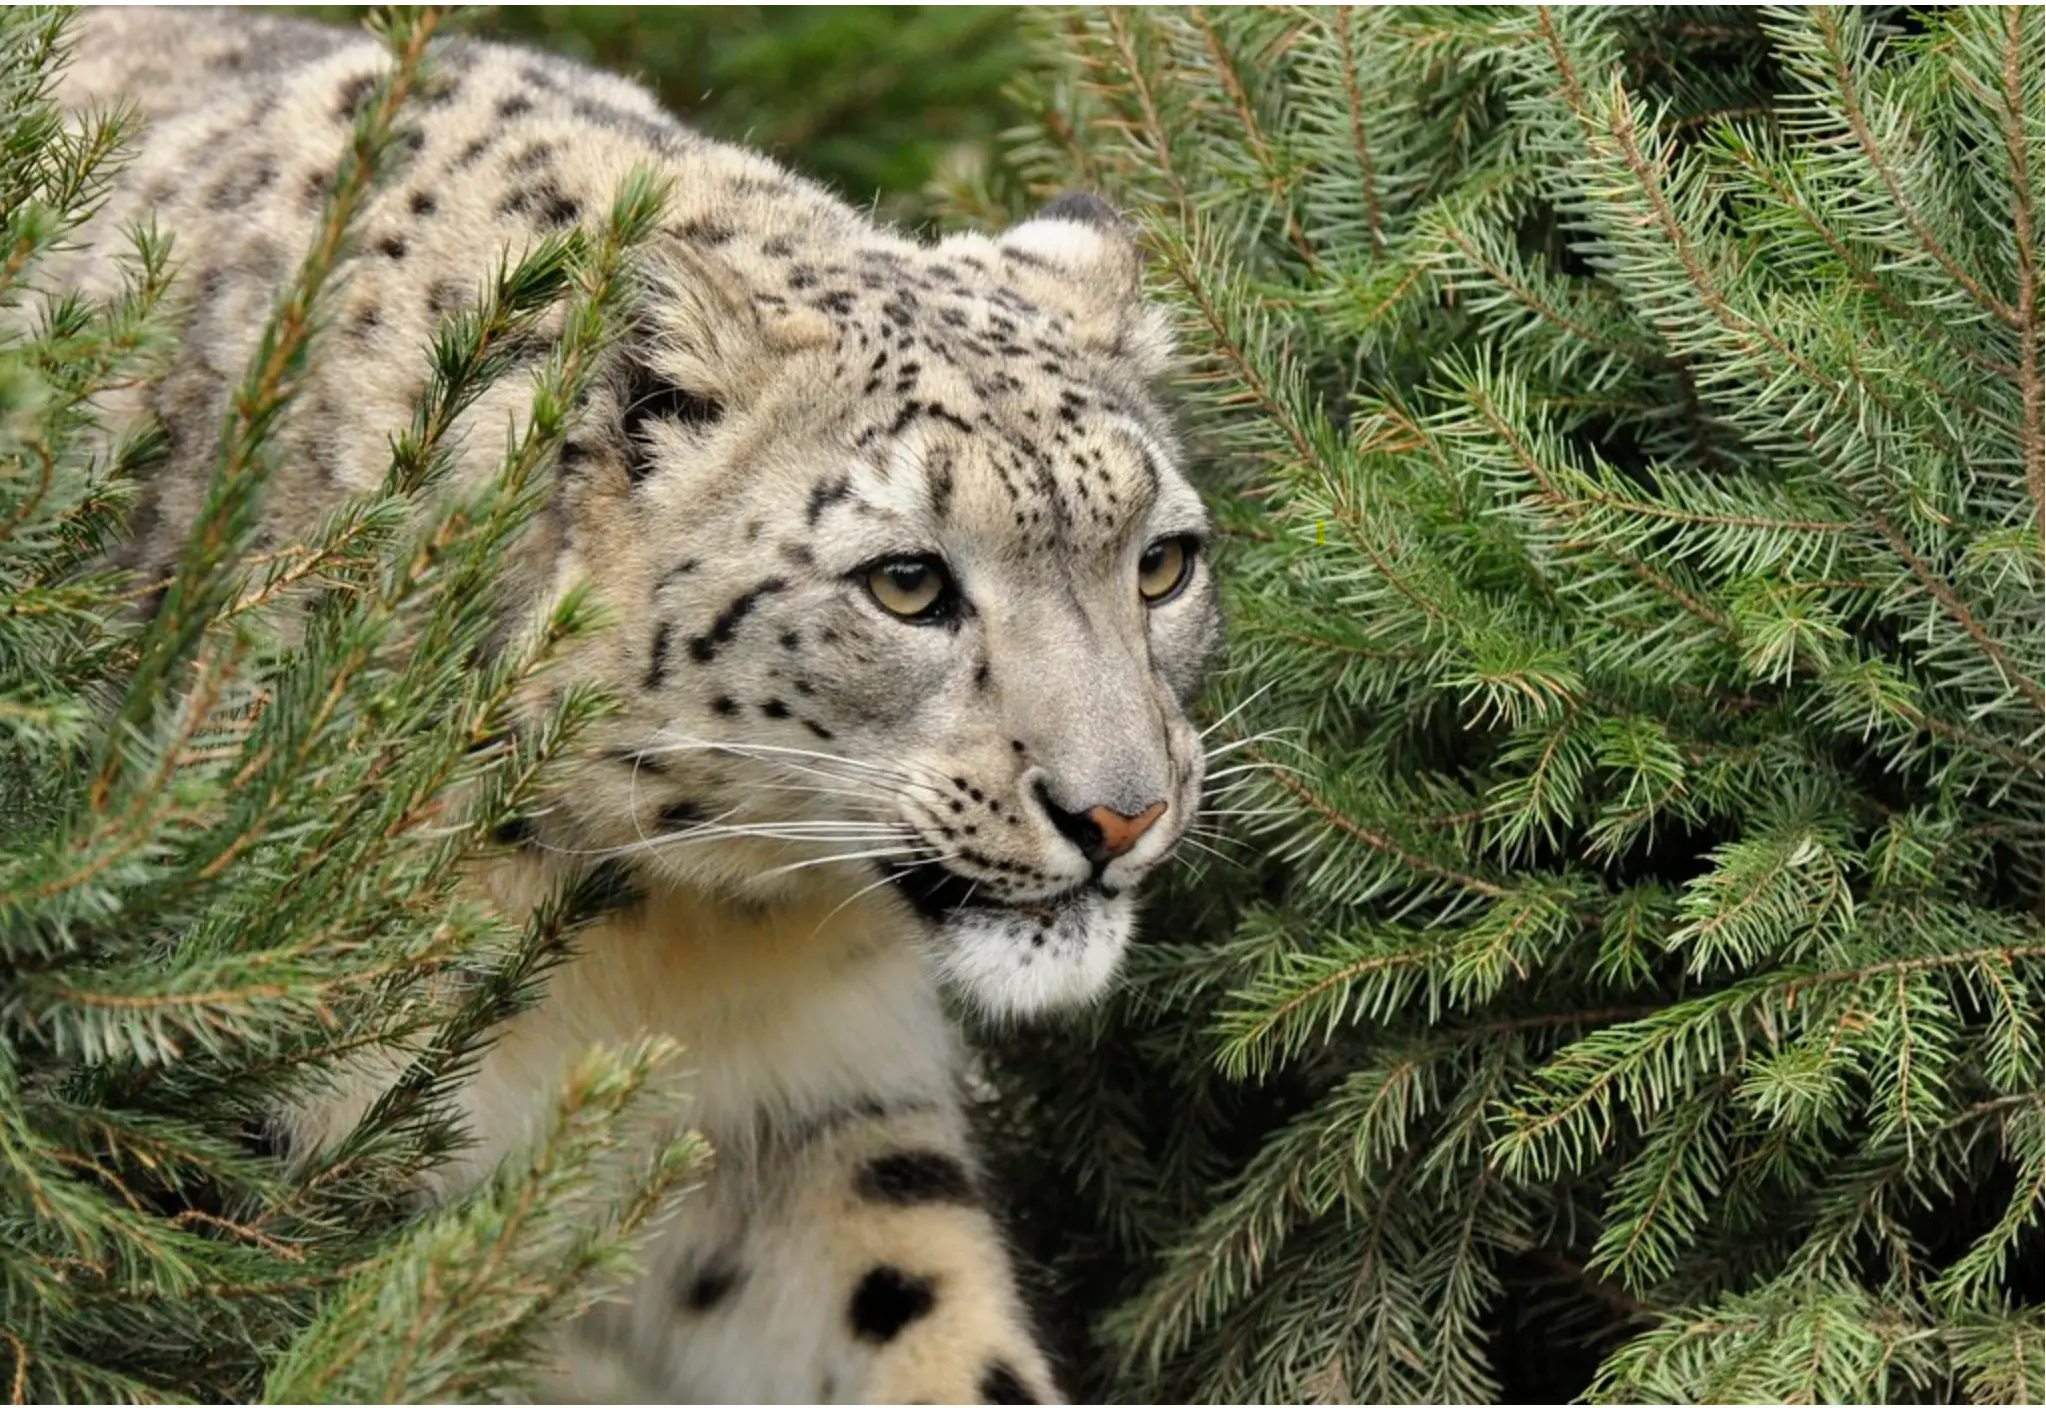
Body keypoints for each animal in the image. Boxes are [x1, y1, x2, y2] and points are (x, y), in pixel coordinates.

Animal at [56, 8, 1219, 1399]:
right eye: (906, 582)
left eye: (1161, 562)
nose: (1120, 814)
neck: (662, 938)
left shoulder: (820, 1111)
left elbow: (930, 1324)